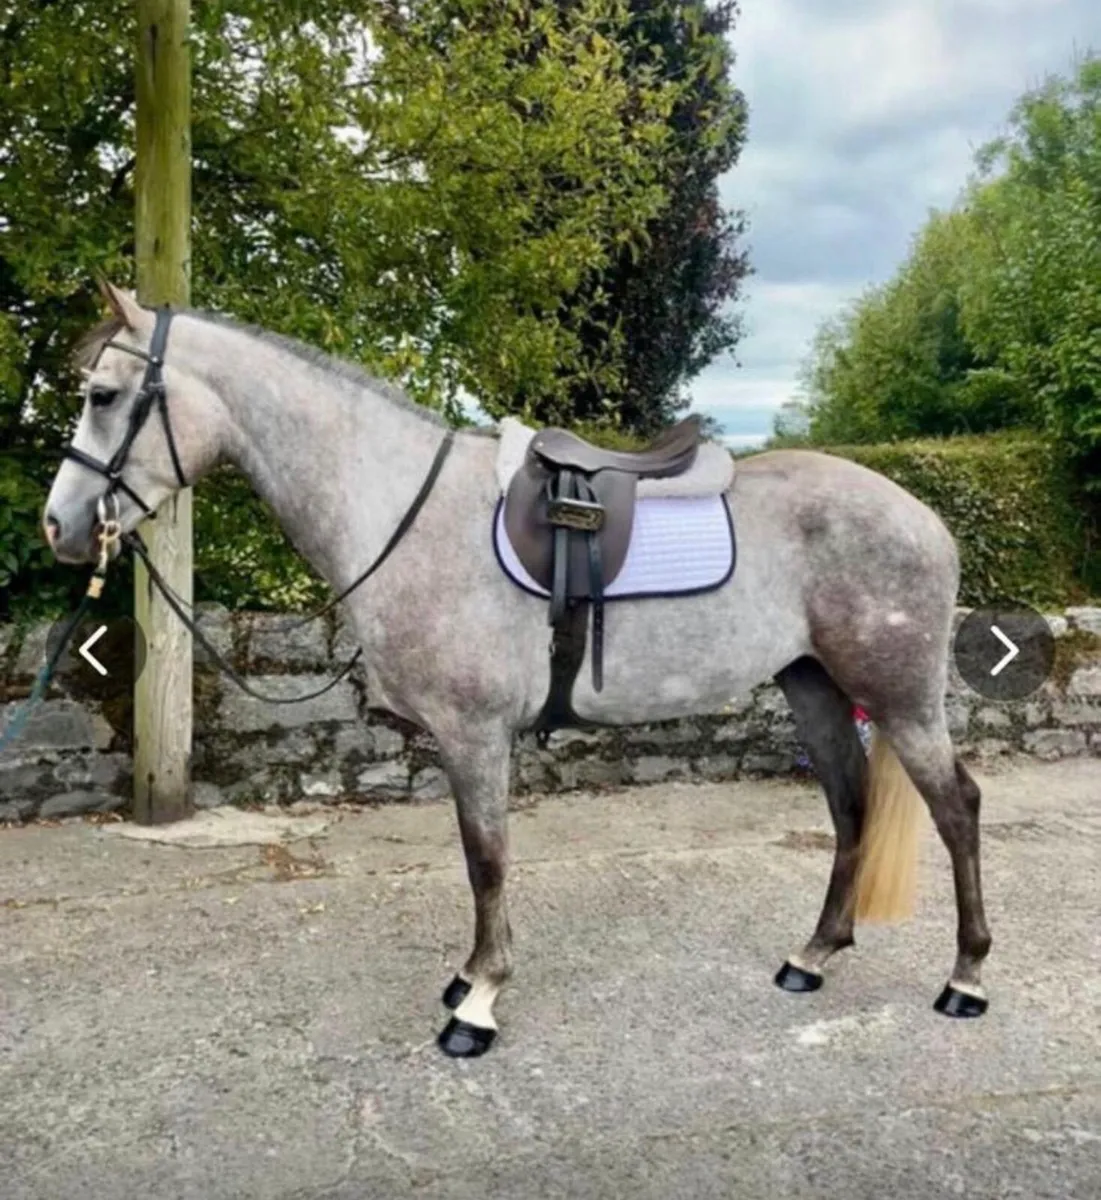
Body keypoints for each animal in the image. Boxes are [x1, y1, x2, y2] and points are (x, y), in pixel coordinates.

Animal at [42, 282, 991, 1058]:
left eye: (102, 395)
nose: (61, 525)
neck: (403, 511)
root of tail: (925, 518)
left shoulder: (475, 733)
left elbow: (487, 858)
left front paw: (478, 1003)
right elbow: (478, 858)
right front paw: (468, 979)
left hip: (899, 698)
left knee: (955, 808)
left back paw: (965, 979)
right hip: (813, 686)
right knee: (849, 805)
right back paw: (812, 956)